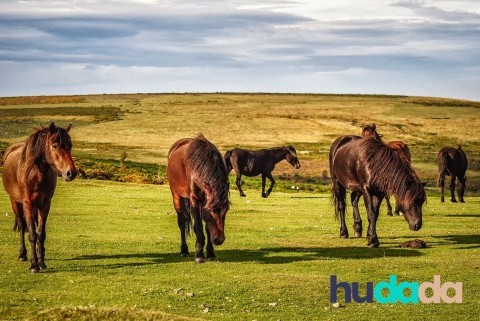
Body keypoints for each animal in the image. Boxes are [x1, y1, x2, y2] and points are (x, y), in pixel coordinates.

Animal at [1, 122, 77, 270]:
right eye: (55, 145)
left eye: (70, 145)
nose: (71, 173)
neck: (35, 174)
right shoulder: (27, 203)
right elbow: (31, 233)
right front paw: (34, 265)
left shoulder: (45, 204)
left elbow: (40, 234)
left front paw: (41, 262)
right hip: (15, 202)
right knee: (22, 225)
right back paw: (23, 254)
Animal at [167, 134, 231, 262]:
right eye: (211, 210)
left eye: (226, 210)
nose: (219, 240)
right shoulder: (195, 200)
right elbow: (198, 227)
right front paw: (199, 255)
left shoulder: (205, 202)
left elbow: (207, 228)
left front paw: (210, 254)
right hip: (176, 195)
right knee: (182, 222)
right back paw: (184, 250)